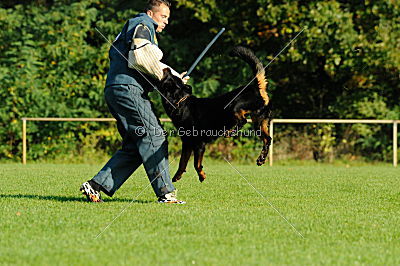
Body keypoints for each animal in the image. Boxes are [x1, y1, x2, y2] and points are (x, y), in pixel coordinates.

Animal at [159, 46, 272, 183]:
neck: (181, 103)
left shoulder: (199, 144)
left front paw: (202, 175)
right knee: (267, 139)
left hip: (234, 106)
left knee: (242, 120)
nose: (167, 68)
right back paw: (261, 158)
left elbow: (196, 164)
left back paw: (230, 132)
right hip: (259, 121)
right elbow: (182, 163)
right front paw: (177, 176)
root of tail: (256, 87)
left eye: (169, 78)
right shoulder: (187, 143)